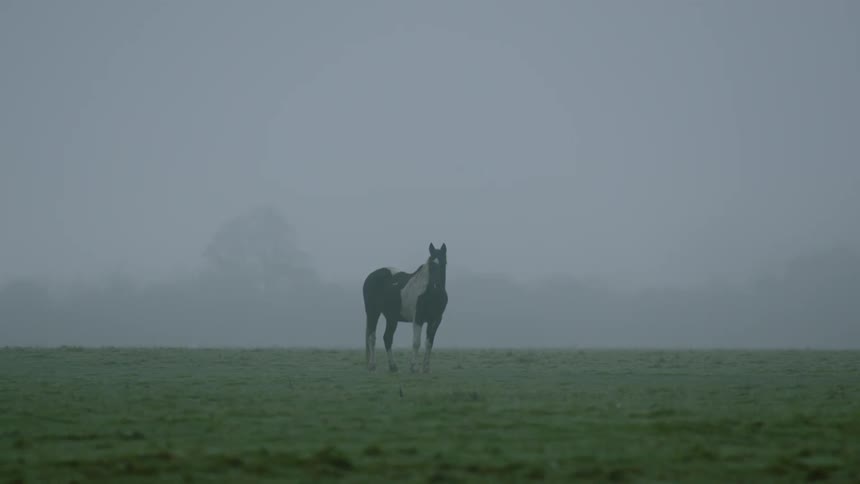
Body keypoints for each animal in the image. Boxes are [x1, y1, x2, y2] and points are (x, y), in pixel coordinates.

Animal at [362, 243, 448, 373]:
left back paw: (393, 366)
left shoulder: (436, 320)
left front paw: (426, 368)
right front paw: (413, 367)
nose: (436, 286)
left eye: (444, 263)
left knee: (387, 338)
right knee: (372, 337)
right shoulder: (418, 318)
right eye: (431, 265)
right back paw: (372, 365)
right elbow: (416, 343)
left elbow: (429, 343)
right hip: (373, 312)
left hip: (391, 318)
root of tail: (370, 277)